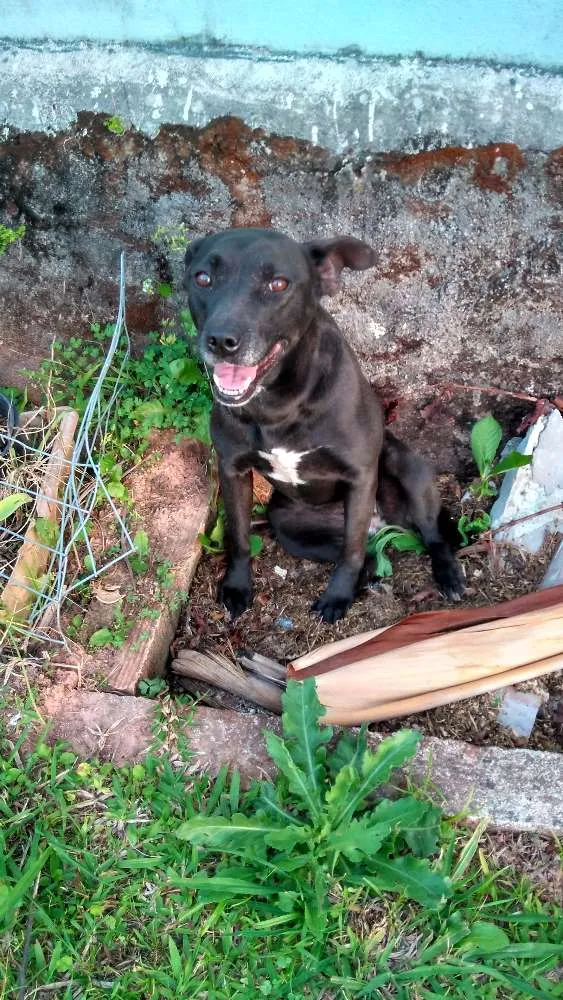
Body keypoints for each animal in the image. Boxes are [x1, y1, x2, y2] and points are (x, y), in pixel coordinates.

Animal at [183, 229, 464, 620]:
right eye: (202, 278)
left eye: (278, 283)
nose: (222, 341)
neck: (278, 404)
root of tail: (384, 523)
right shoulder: (232, 470)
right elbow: (237, 536)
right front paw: (237, 586)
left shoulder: (360, 477)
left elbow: (352, 550)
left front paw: (338, 596)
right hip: (287, 523)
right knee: (368, 555)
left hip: (407, 468)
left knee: (428, 534)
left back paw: (447, 574)